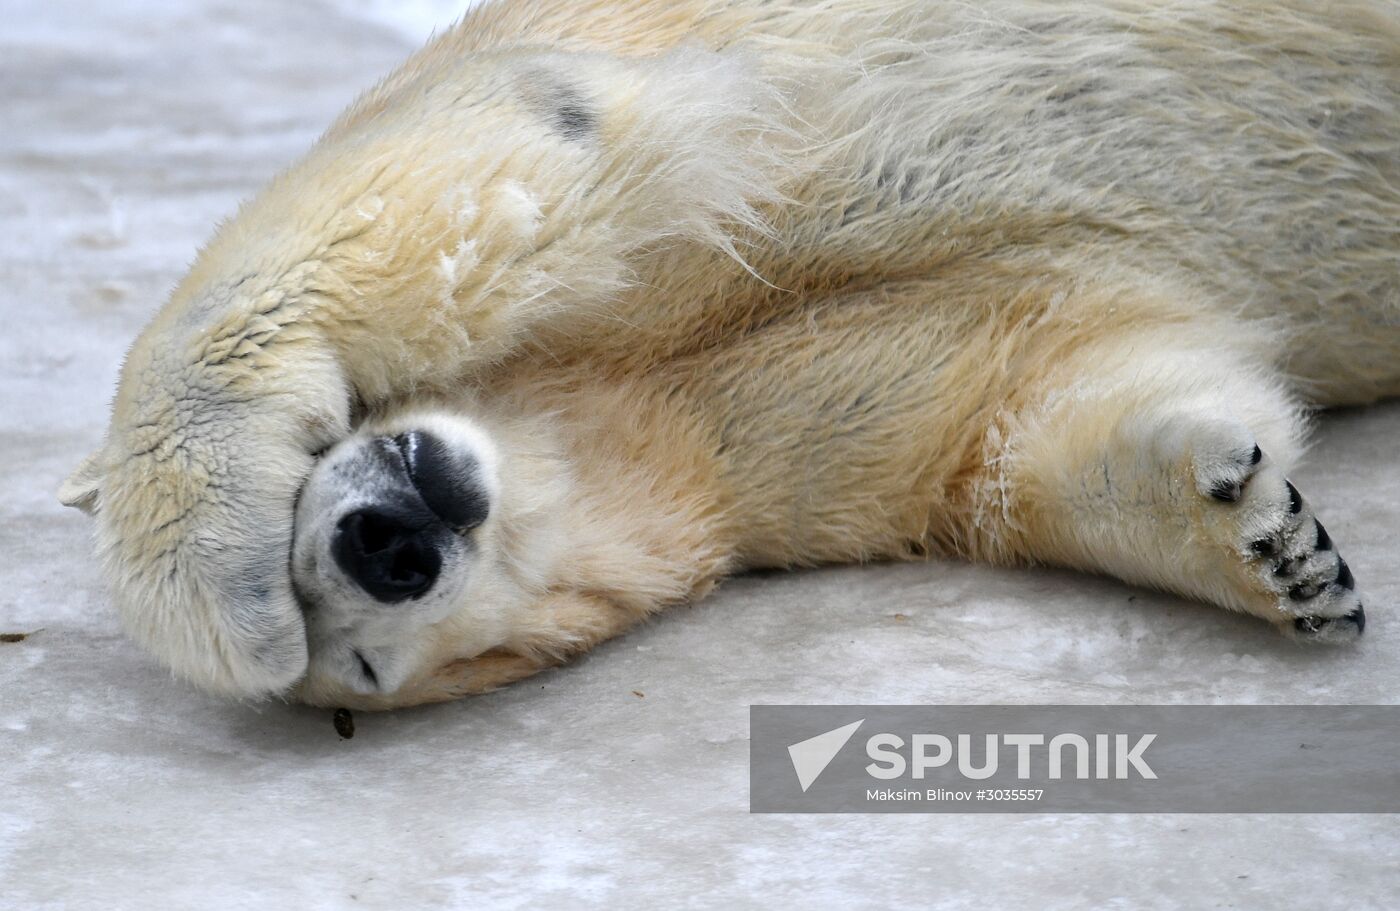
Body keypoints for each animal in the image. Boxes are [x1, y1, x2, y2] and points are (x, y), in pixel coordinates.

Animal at [59, 0, 1400, 708]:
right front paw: (1273, 546)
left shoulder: (613, 101)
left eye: (344, 646)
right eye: (367, 670)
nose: (388, 542)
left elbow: (464, 182)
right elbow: (1040, 399)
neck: (625, 379)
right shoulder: (802, 419)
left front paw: (216, 590)